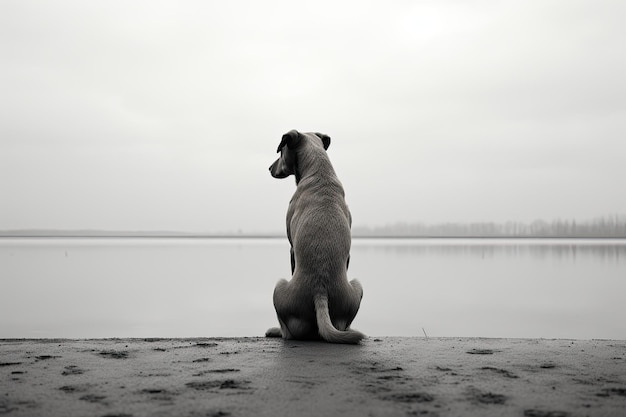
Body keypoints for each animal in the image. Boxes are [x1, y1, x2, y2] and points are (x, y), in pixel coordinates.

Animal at [264, 131, 366, 344]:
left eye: (281, 150)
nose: (269, 167)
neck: (318, 170)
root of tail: (320, 293)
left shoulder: (291, 247)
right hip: (356, 288)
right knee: (343, 326)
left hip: (279, 286)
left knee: (288, 333)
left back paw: (275, 331)